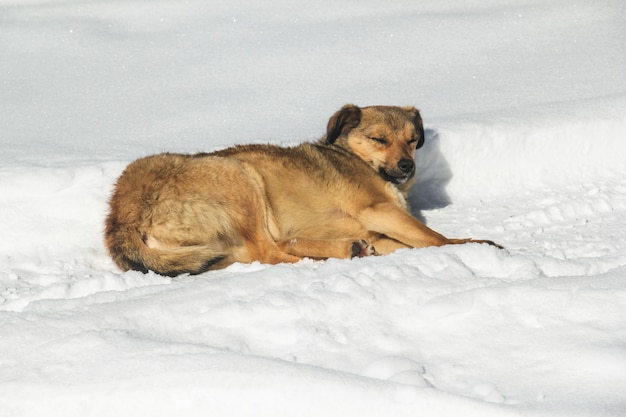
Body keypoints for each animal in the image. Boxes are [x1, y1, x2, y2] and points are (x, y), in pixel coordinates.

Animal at [106, 104, 498, 274]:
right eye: (379, 139)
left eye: (413, 139)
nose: (407, 166)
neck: (354, 157)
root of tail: (121, 216)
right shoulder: (377, 210)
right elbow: (436, 238)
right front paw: (474, 245)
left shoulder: (379, 227)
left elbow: (411, 241)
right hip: (240, 176)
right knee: (270, 252)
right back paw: (331, 255)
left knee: (274, 248)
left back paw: (345, 249)